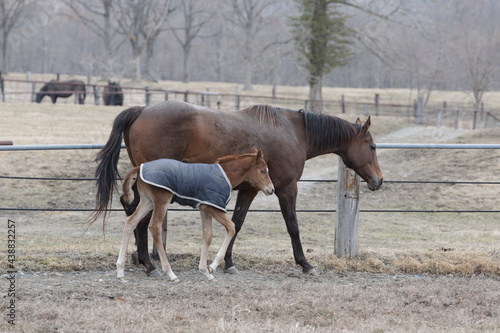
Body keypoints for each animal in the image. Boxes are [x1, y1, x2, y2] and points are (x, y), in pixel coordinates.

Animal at [94, 100, 382, 276]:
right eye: (372, 146)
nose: (378, 180)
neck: (294, 132)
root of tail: (141, 110)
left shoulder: (250, 189)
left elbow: (237, 222)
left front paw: (228, 262)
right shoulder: (287, 188)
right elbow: (293, 226)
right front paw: (305, 263)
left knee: (133, 212)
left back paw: (143, 260)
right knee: (140, 218)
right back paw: (148, 263)